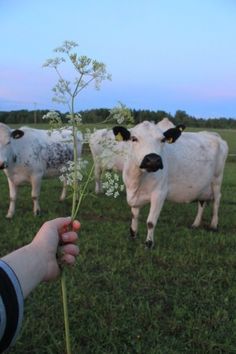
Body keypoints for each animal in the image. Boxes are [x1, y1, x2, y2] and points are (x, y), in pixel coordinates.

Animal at [112, 120, 229, 248]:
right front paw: (133, 236)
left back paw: (214, 225)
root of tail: (213, 135)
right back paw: (196, 224)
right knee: (202, 202)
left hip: (217, 179)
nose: (153, 160)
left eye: (163, 139)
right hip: (203, 186)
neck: (137, 180)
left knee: (217, 200)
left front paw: (149, 244)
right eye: (134, 138)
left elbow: (150, 222)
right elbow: (134, 216)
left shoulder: (159, 194)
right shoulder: (134, 195)